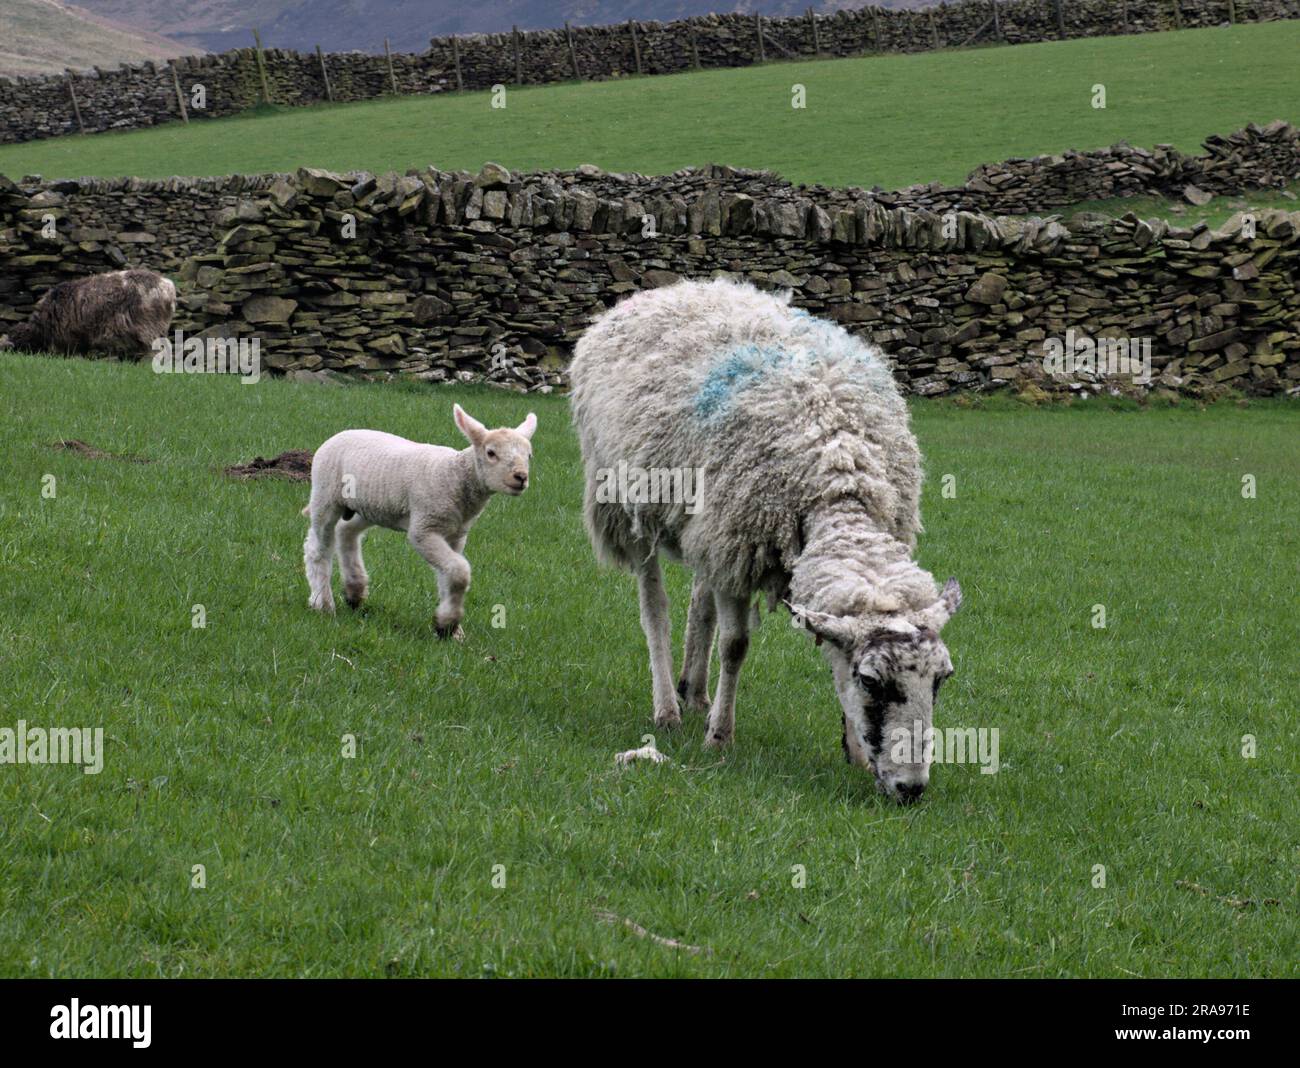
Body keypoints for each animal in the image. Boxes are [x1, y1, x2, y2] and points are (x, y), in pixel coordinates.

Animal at [301, 400, 535, 636]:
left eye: (529, 456)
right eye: (491, 452)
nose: (521, 477)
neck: (456, 476)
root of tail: (339, 434)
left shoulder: (457, 534)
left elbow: (448, 575)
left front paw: (453, 630)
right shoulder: (424, 529)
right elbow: (459, 571)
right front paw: (446, 624)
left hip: (369, 506)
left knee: (345, 531)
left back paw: (354, 592)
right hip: (325, 494)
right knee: (318, 548)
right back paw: (323, 603)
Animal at [572, 280, 967, 805]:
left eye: (941, 679)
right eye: (871, 680)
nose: (911, 789)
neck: (838, 473)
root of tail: (674, 288)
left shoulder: (731, 544)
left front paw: (856, 752)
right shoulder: (738, 544)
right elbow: (735, 645)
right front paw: (720, 736)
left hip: (708, 528)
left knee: (700, 603)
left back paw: (694, 691)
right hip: (628, 503)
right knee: (655, 607)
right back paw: (668, 707)